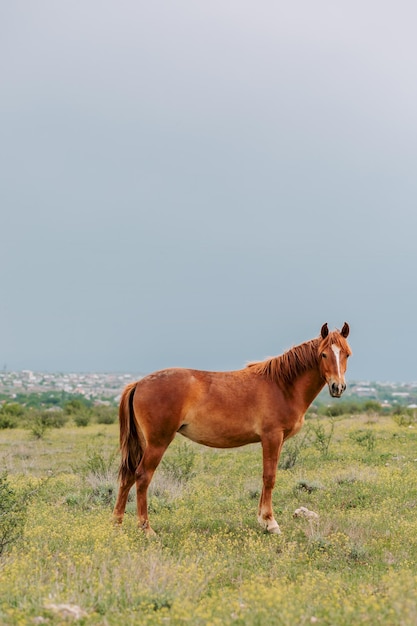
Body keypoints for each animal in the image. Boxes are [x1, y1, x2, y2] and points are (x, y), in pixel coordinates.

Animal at [112, 322, 350, 532]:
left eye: (347, 354)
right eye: (323, 354)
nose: (337, 387)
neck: (282, 385)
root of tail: (139, 383)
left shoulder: (278, 440)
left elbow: (267, 476)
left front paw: (262, 520)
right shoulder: (272, 437)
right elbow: (269, 477)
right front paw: (270, 523)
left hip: (143, 443)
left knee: (128, 476)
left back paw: (117, 525)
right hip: (158, 442)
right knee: (142, 476)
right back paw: (146, 529)